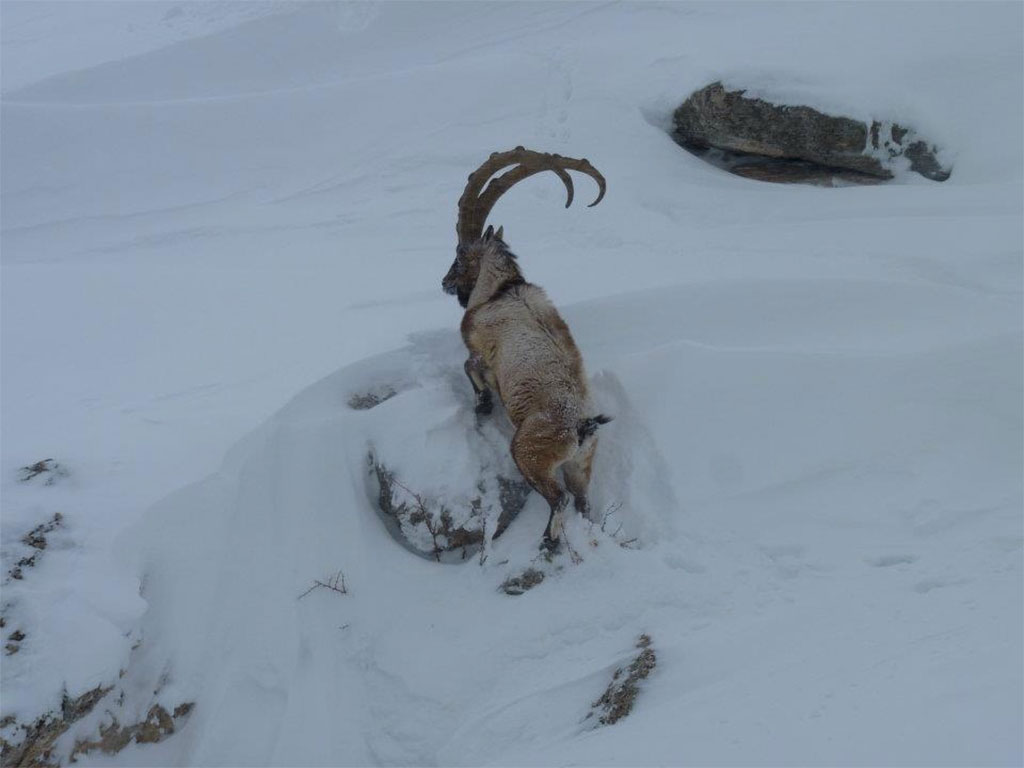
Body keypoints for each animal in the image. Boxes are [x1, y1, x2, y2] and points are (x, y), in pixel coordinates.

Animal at [441, 146, 611, 551]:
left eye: (459, 254)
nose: (444, 283)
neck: (501, 291)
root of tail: (582, 427)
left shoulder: (480, 350)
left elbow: (470, 369)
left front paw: (483, 406)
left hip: (529, 453)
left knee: (559, 499)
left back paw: (547, 542)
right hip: (582, 466)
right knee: (582, 502)